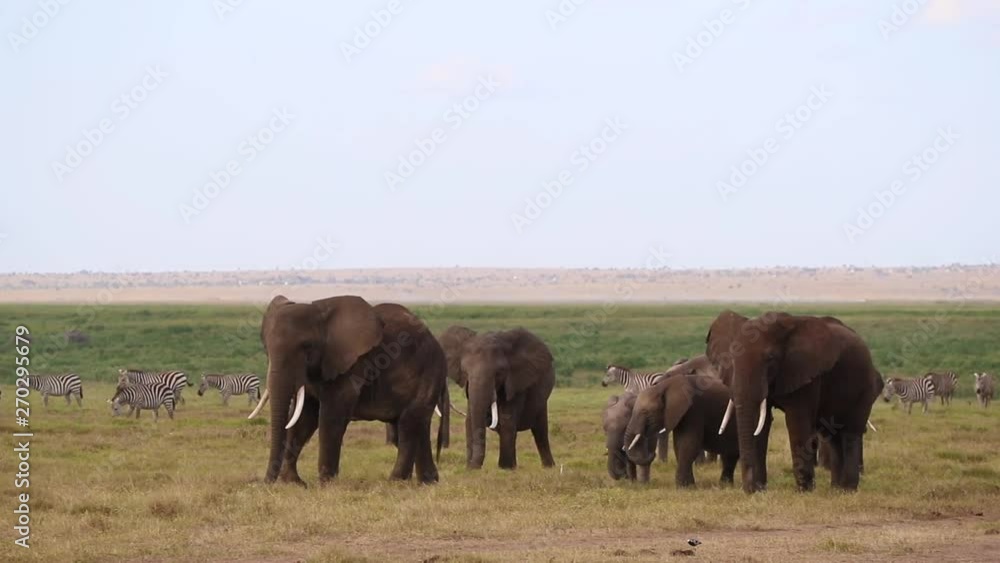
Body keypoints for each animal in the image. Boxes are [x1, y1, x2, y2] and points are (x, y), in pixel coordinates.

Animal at [248, 295, 449, 485]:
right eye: (266, 348)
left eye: (306, 346)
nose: (265, 483)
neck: (320, 312)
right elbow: (304, 418)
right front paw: (293, 483)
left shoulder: (351, 364)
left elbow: (331, 415)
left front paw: (327, 484)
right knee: (414, 424)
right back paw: (428, 482)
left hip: (429, 371)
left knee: (408, 422)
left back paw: (396, 482)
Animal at [439, 325, 556, 470]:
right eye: (465, 372)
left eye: (499, 373)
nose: (472, 467)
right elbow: (470, 421)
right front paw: (470, 468)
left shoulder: (515, 383)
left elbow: (507, 420)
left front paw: (505, 469)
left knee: (540, 431)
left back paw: (549, 467)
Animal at [706, 310, 882, 493]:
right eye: (731, 359)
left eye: (770, 358)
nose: (749, 490)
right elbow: (762, 424)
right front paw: (761, 490)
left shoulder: (807, 372)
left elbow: (796, 421)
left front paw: (804, 491)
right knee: (832, 436)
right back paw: (836, 489)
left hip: (864, 385)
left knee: (851, 433)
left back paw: (848, 489)